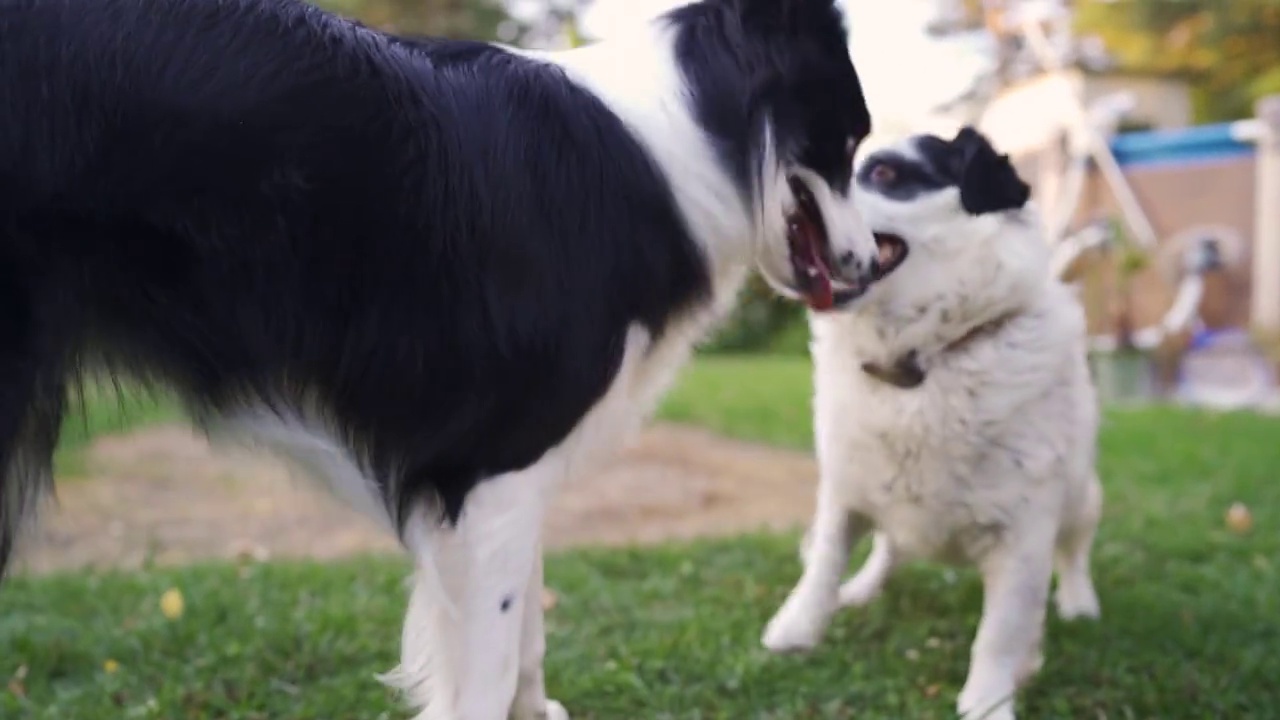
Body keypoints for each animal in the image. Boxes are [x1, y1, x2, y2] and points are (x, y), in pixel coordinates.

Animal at [757, 128, 1100, 717]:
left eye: (886, 173)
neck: (920, 361)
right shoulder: (844, 491)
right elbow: (822, 565)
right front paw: (797, 629)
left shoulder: (1024, 537)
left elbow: (999, 633)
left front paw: (988, 701)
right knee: (887, 549)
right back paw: (861, 588)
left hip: (1082, 500)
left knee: (1074, 553)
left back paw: (1078, 604)